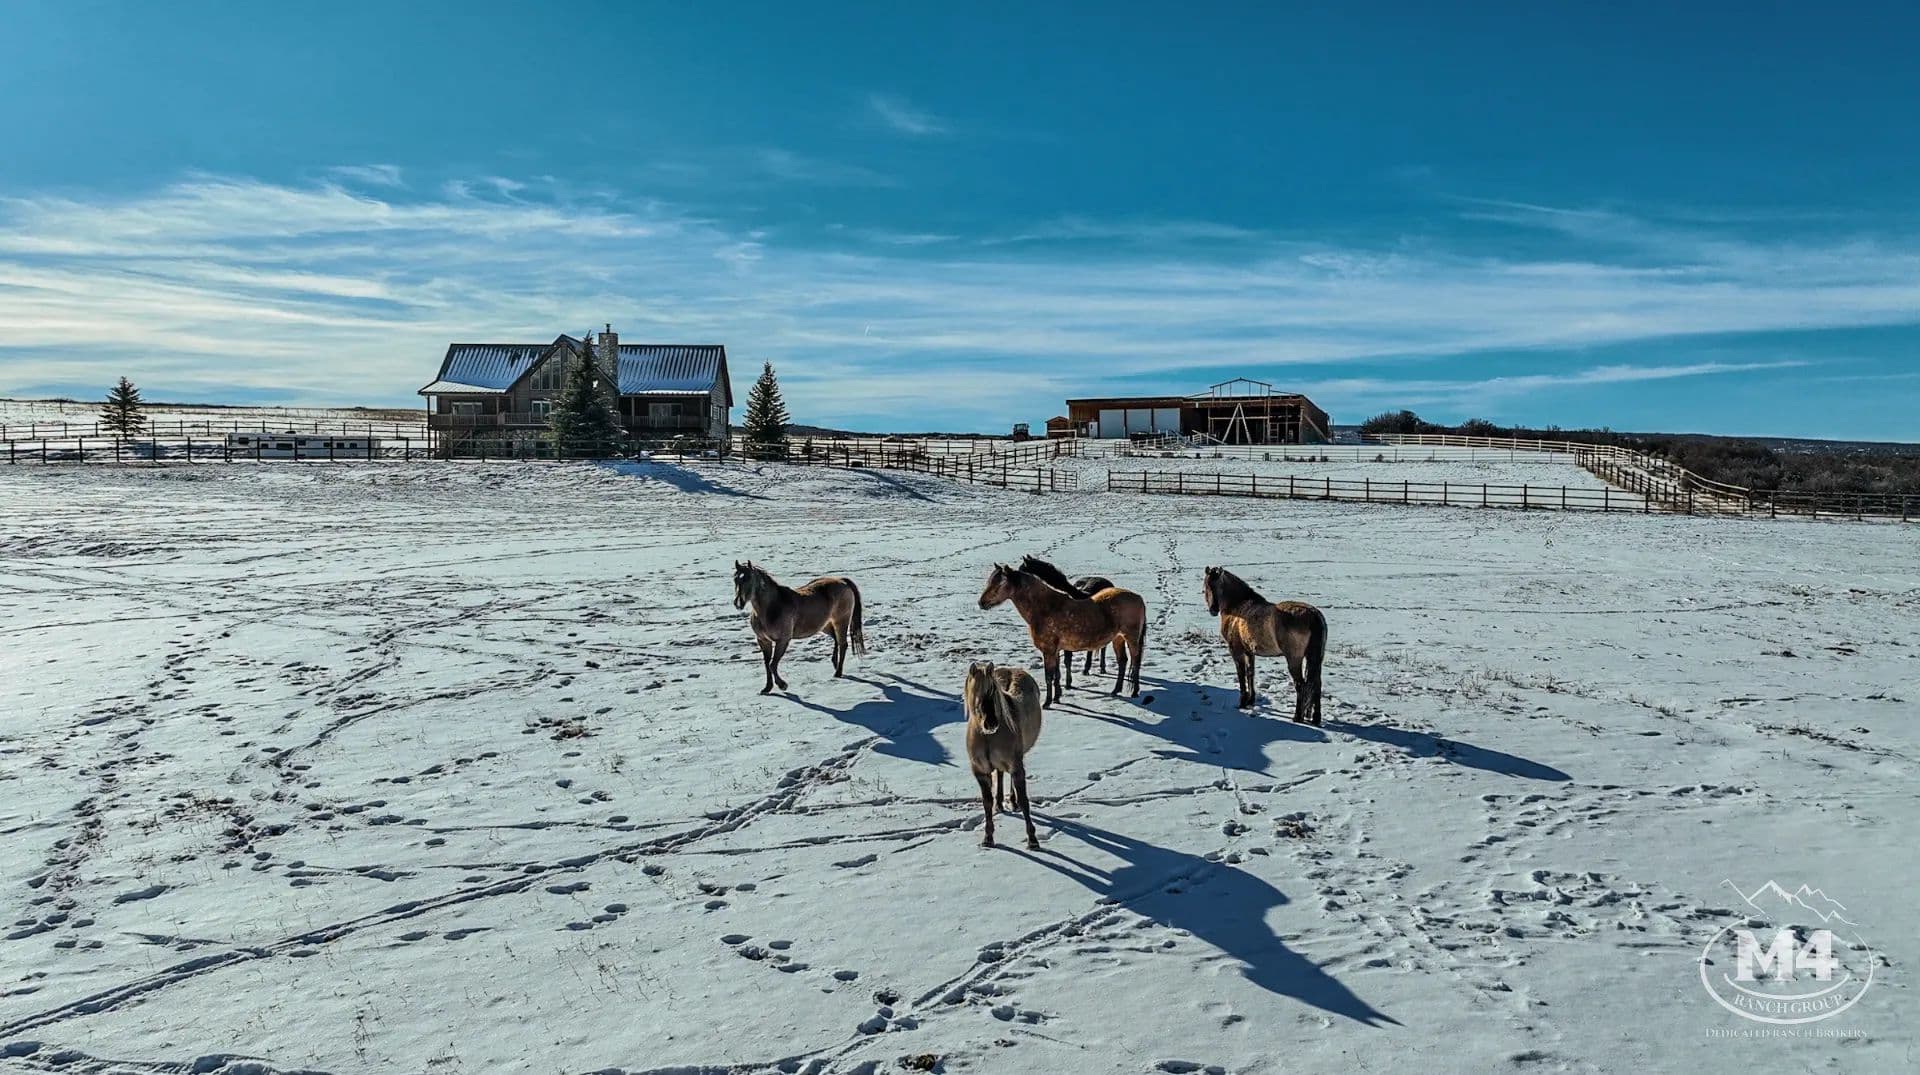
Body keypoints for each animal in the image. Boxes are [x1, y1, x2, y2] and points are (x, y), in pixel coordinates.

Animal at [732, 561, 865, 695]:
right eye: (735, 579)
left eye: (749, 578)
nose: (738, 603)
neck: (771, 608)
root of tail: (842, 581)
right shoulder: (763, 641)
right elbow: (767, 664)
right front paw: (767, 688)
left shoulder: (783, 640)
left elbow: (772, 665)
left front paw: (783, 685)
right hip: (824, 625)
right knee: (836, 640)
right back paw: (835, 664)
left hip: (840, 622)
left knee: (843, 644)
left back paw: (838, 672)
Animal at [963, 661, 1045, 849]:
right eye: (977, 693)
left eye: (993, 691)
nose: (991, 723)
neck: (987, 737)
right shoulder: (980, 771)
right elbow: (987, 802)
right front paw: (988, 838)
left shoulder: (1016, 766)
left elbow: (1024, 801)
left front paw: (1032, 840)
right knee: (1000, 774)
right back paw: (1000, 803)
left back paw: (1011, 802)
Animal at [979, 562, 1145, 705]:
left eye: (1000, 583)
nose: (981, 602)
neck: (1045, 608)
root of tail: (1138, 598)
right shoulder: (1056, 650)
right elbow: (1057, 675)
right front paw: (1057, 697)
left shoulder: (1048, 650)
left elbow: (1049, 676)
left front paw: (1047, 702)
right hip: (1118, 638)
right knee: (1123, 661)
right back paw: (1116, 690)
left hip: (1131, 638)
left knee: (1135, 661)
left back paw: (1134, 692)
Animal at [1202, 565, 1325, 723]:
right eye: (1207, 585)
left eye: (1215, 586)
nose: (1213, 609)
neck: (1237, 607)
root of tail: (1313, 615)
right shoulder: (1249, 651)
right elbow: (1250, 673)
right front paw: (1250, 700)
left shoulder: (1236, 651)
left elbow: (1241, 674)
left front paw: (1242, 702)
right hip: (1315, 659)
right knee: (1316, 684)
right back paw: (1316, 718)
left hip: (1294, 660)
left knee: (1301, 685)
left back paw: (1297, 717)